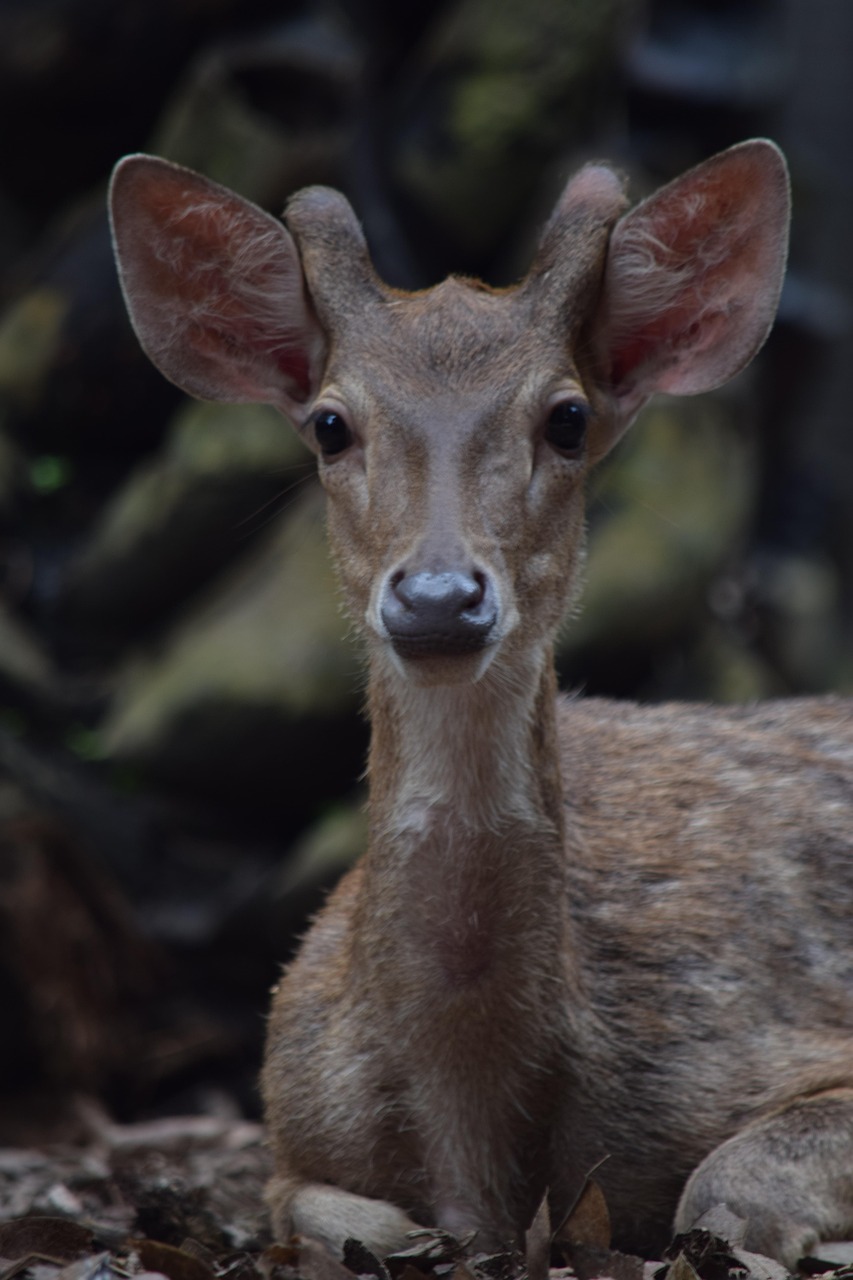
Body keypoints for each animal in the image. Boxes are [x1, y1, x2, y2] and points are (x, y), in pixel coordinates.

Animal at [108, 138, 853, 1269]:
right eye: (331, 423)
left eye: (568, 417)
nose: (437, 596)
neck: (477, 1136)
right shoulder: (287, 1117)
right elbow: (328, 1211)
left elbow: (717, 1188)